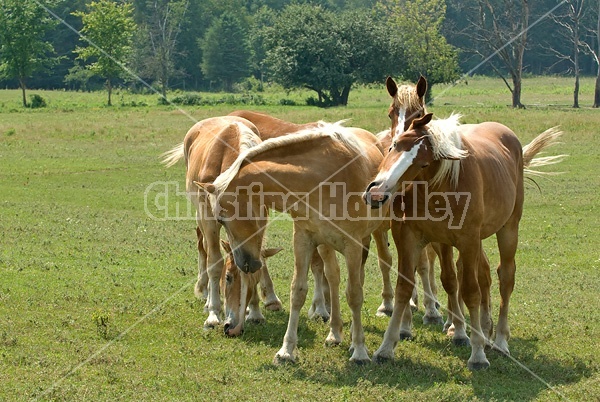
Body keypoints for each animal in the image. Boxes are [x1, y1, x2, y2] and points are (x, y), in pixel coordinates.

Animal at [199, 121, 390, 362]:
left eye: (220, 218)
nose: (248, 263)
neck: (323, 180)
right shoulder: (303, 239)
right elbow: (297, 292)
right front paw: (286, 351)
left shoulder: (353, 245)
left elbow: (354, 295)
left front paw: (360, 351)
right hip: (326, 245)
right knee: (333, 278)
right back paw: (335, 333)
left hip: (379, 234)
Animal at [364, 111, 564, 370]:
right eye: (393, 146)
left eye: (423, 163)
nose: (377, 192)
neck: (435, 188)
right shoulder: (410, 238)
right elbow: (407, 288)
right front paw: (387, 347)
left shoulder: (468, 241)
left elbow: (470, 291)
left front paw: (477, 354)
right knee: (482, 275)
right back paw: (486, 331)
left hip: (508, 230)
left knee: (505, 278)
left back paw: (499, 341)